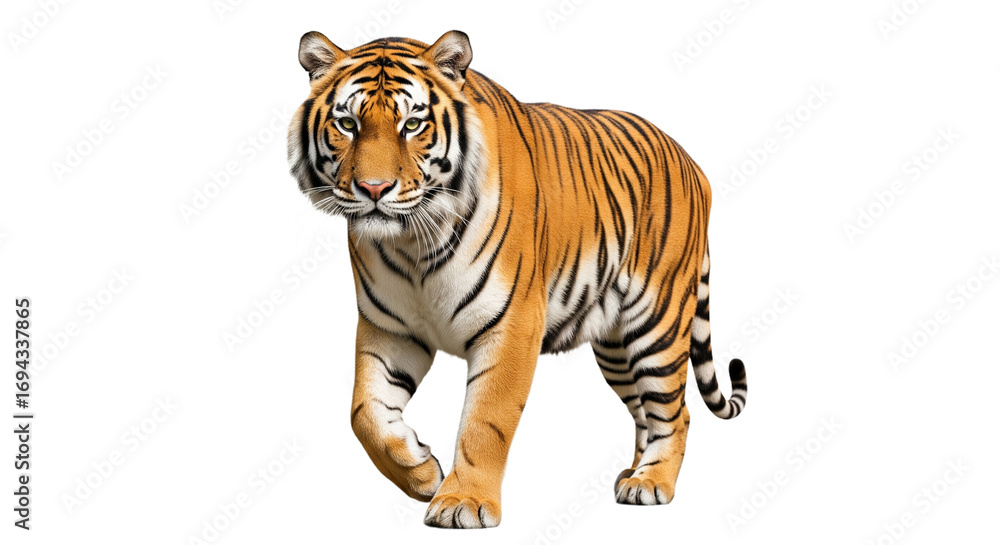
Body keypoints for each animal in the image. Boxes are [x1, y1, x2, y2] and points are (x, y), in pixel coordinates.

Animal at [287, 30, 748, 528]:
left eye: (412, 125)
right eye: (347, 124)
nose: (373, 189)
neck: (413, 244)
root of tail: (692, 162)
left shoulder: (511, 327)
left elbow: (485, 420)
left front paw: (463, 501)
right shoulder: (390, 329)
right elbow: (364, 412)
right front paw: (421, 471)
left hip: (657, 324)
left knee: (675, 412)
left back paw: (652, 482)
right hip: (616, 347)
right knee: (644, 411)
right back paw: (633, 473)